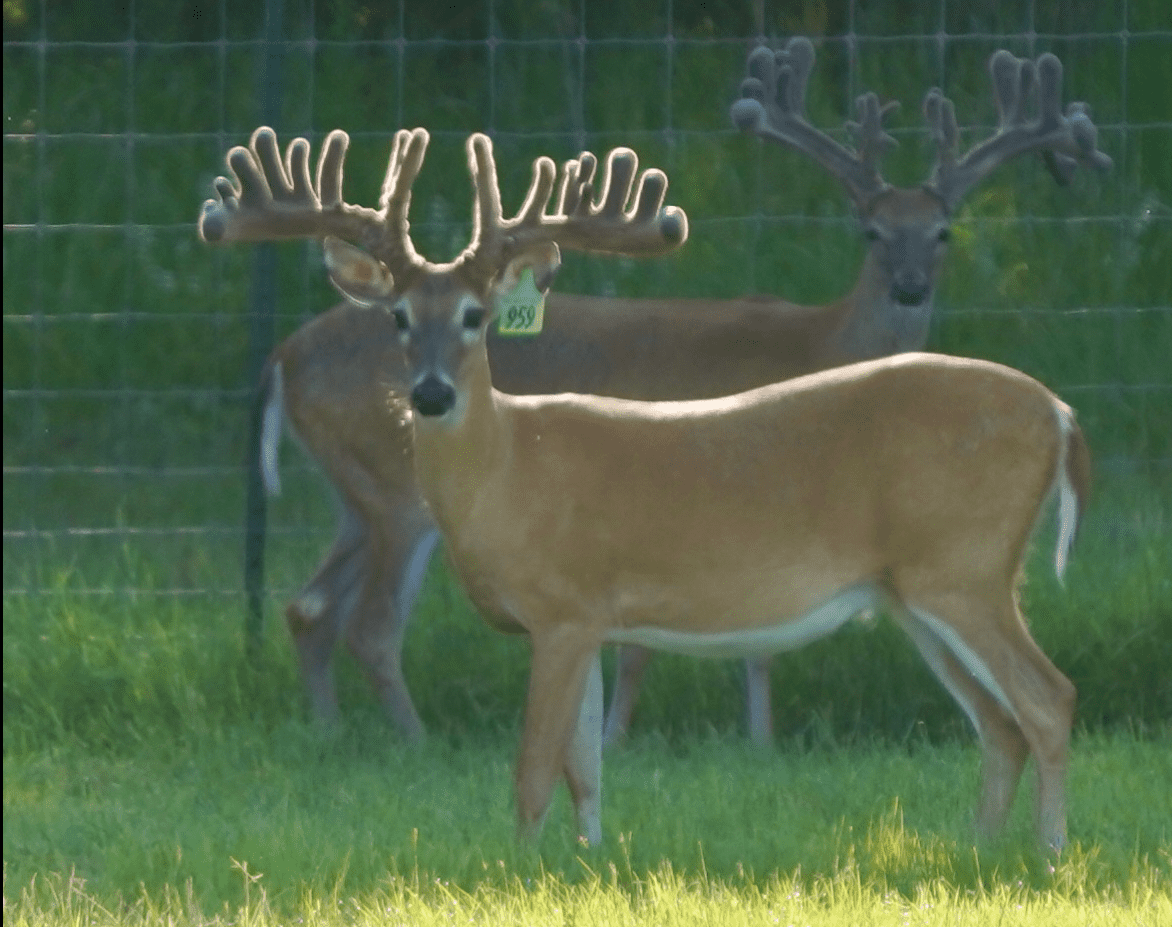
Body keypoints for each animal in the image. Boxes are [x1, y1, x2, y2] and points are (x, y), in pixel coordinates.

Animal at [201, 122, 1093, 853]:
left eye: (475, 316)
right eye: (397, 317)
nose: (428, 393)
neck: (507, 474)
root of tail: (1061, 415)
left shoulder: (562, 606)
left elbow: (533, 770)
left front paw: (518, 869)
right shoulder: (595, 616)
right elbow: (587, 769)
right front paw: (589, 860)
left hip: (966, 566)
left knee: (1049, 698)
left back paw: (1049, 853)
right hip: (916, 590)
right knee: (999, 723)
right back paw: (980, 849)